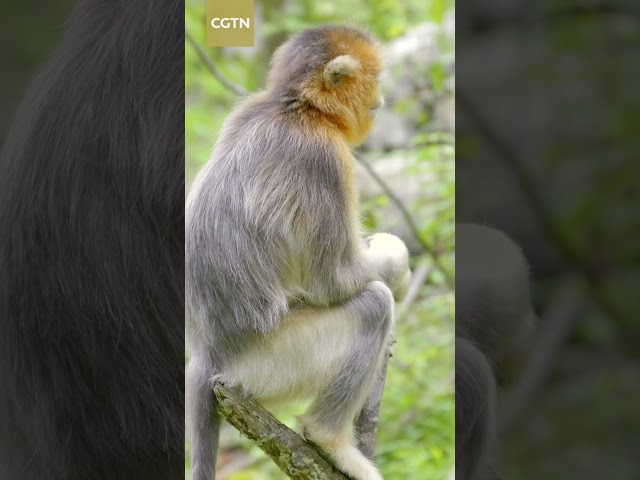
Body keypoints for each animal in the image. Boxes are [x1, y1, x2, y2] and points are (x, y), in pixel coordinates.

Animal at [186, 26, 410, 480]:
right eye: (376, 81)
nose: (380, 101)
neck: (296, 108)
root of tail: (206, 356)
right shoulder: (324, 158)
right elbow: (334, 280)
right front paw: (396, 261)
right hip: (272, 363)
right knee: (374, 306)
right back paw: (329, 441)